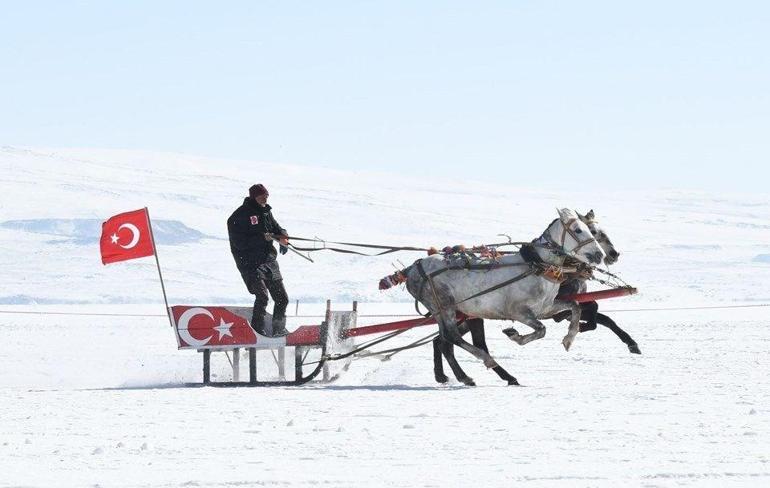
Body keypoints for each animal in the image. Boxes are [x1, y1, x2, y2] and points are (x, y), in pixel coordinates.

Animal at [400, 208, 604, 386]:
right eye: (578, 230)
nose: (599, 255)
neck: (537, 267)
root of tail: (413, 269)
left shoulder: (545, 308)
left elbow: (575, 306)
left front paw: (569, 338)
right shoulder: (518, 312)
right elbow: (541, 330)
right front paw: (515, 335)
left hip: (454, 311)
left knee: (443, 341)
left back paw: (462, 376)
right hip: (443, 305)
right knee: (452, 336)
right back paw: (487, 362)